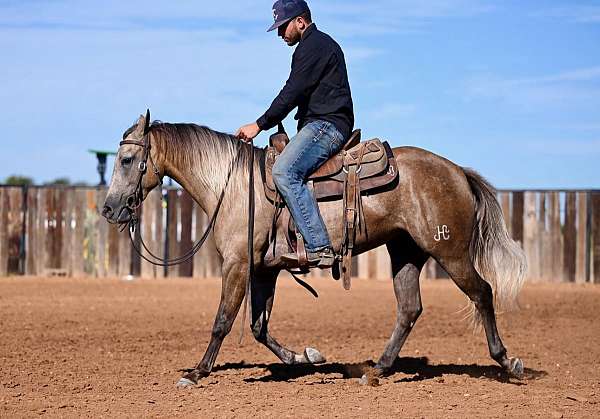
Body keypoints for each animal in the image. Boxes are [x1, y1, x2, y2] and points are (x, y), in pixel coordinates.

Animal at [102, 111, 524, 388]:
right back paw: (376, 370)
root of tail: (457, 171)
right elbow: (258, 326)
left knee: (482, 293)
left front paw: (196, 372)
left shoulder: (237, 264)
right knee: (409, 309)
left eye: (127, 159)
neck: (233, 185)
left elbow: (223, 319)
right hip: (405, 252)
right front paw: (305, 356)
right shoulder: (264, 269)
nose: (109, 209)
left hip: (449, 251)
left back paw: (508, 361)